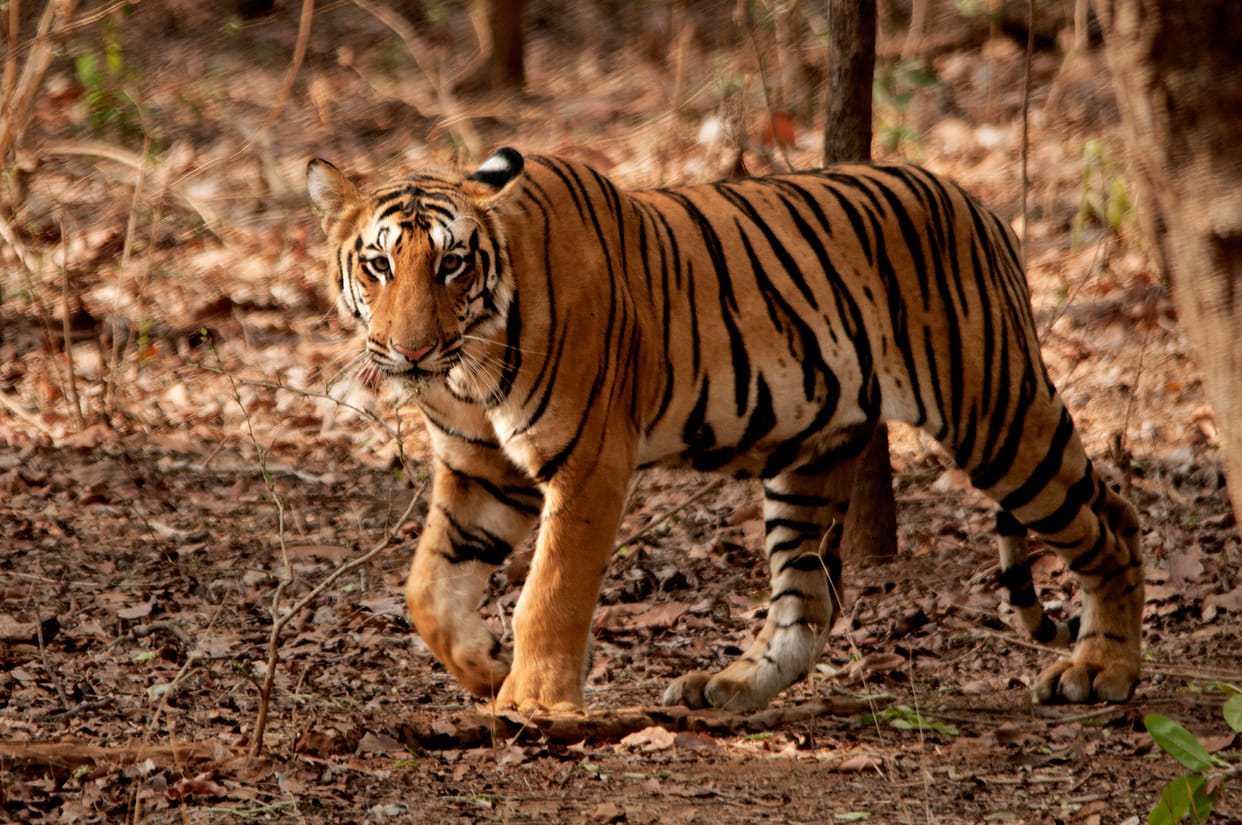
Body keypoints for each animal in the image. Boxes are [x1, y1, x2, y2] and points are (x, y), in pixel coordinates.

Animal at [306, 147, 1144, 713]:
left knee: (1112, 521)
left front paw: (532, 701)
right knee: (808, 602)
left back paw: (1102, 668)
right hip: (810, 455)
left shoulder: (588, 462)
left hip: (996, 413)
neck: (468, 366)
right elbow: (427, 588)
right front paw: (484, 665)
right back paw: (729, 685)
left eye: (451, 266)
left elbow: (549, 589)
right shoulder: (482, 470)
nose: (410, 350)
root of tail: (983, 206)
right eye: (379, 265)